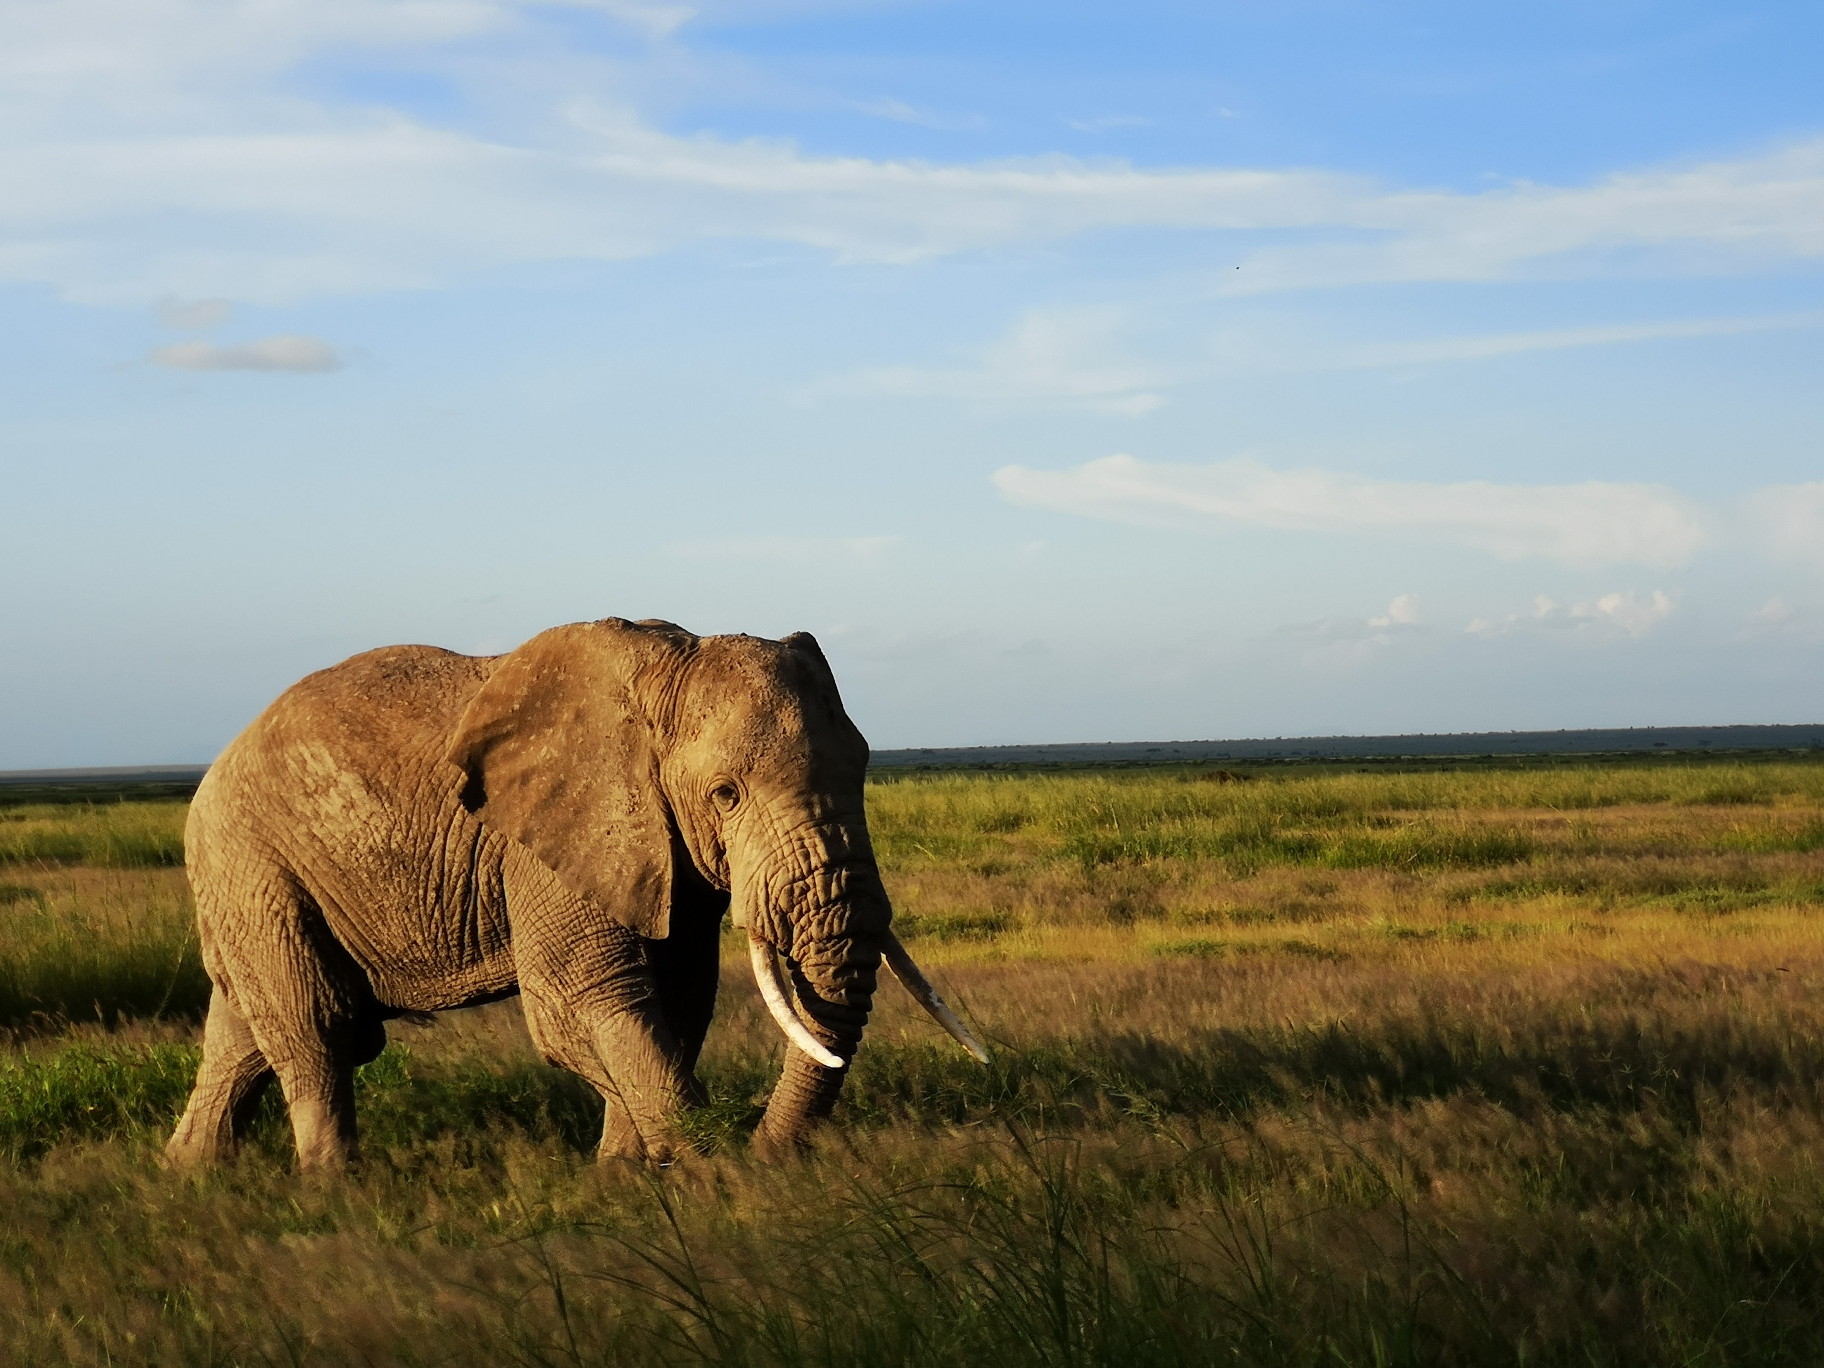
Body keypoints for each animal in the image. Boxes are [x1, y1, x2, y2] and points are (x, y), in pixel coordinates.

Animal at [164, 616, 984, 1174]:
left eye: (866, 768)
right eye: (726, 793)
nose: (770, 1152)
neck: (663, 672)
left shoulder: (663, 850)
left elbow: (678, 998)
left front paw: (626, 1176)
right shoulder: (558, 833)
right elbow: (583, 997)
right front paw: (714, 1178)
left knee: (243, 1037)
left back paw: (193, 1179)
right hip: (254, 862)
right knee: (320, 1028)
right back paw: (333, 1189)